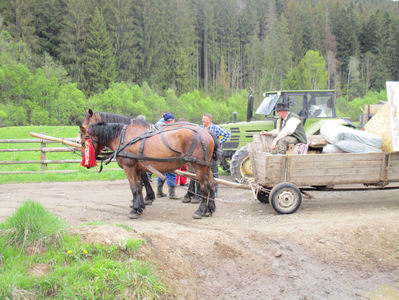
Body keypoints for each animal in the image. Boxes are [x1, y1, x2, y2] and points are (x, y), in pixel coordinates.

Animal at [82, 120, 219, 220]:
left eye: (85, 139)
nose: (86, 162)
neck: (122, 138)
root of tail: (206, 132)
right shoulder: (137, 169)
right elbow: (139, 187)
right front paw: (140, 207)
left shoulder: (129, 168)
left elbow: (134, 188)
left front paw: (135, 209)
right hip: (206, 166)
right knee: (212, 184)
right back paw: (210, 209)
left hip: (199, 166)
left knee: (205, 186)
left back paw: (200, 210)